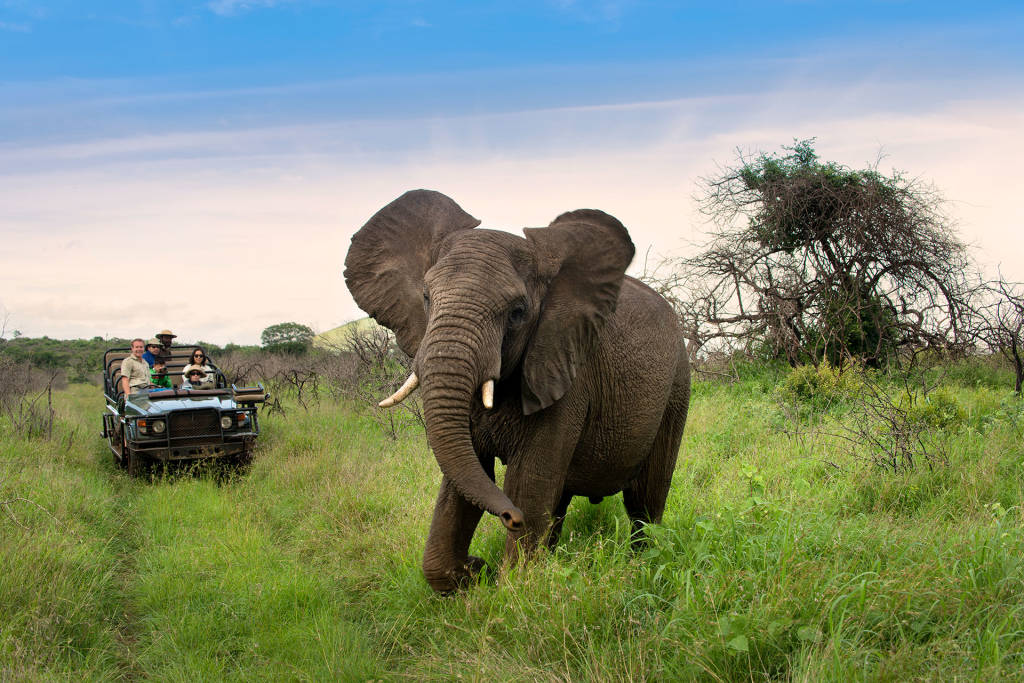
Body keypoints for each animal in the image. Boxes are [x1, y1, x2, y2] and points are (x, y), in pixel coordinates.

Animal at [342, 188, 688, 593]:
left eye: (518, 312)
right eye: (426, 298)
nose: (510, 517)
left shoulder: (565, 371)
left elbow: (528, 481)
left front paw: (511, 583)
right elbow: (465, 481)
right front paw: (472, 575)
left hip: (677, 386)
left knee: (645, 500)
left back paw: (642, 563)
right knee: (562, 502)